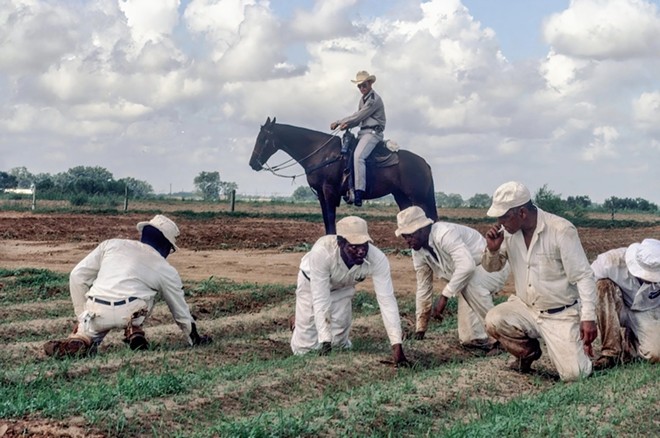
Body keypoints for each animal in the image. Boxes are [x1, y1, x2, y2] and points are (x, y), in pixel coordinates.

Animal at [248, 114, 438, 234]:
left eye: (263, 138)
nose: (252, 163)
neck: (322, 154)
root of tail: (424, 163)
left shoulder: (329, 191)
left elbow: (331, 219)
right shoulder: (321, 194)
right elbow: (326, 221)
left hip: (418, 198)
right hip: (401, 197)